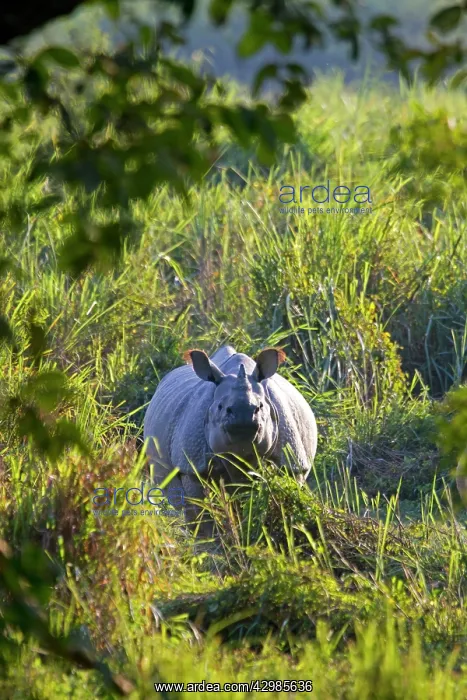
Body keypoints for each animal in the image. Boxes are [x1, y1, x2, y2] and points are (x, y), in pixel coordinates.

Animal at [143, 345, 317, 533]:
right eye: (221, 407)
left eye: (260, 407)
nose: (243, 418)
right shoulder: (192, 464)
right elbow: (200, 510)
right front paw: (207, 539)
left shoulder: (291, 462)